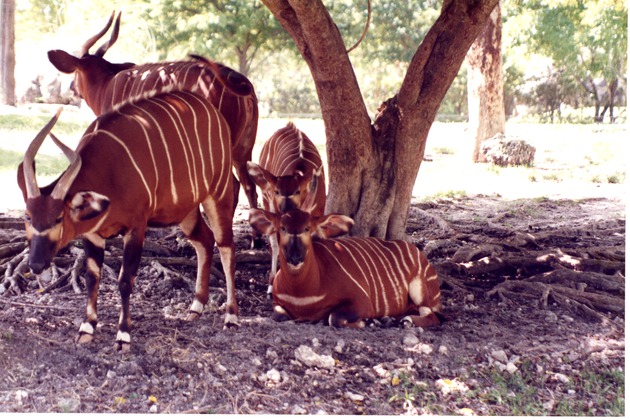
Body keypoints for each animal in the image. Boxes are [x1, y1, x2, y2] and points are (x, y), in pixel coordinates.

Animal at [18, 92, 239, 352]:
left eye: (58, 217)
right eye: (27, 216)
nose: (36, 264)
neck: (110, 170)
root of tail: (215, 112)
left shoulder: (136, 228)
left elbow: (125, 280)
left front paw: (123, 336)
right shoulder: (93, 235)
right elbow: (92, 278)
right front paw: (86, 328)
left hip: (219, 194)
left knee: (226, 245)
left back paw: (231, 317)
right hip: (187, 212)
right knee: (204, 241)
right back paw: (196, 307)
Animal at [247, 121, 326, 294]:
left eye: (298, 191)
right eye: (277, 191)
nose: (286, 212)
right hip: (267, 202)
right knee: (274, 245)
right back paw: (271, 284)